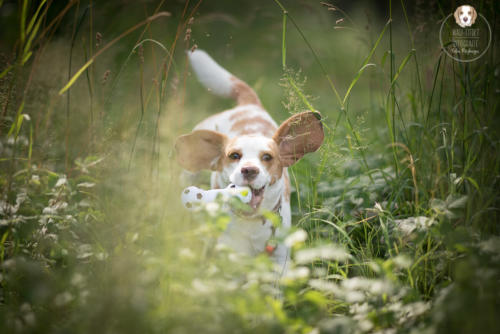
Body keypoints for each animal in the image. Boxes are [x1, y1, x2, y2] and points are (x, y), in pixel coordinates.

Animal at [176, 49, 324, 274]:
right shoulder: (230, 259)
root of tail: (248, 105)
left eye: (267, 157)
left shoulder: (279, 259)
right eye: (234, 156)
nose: (249, 170)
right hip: (188, 175)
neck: (250, 223)